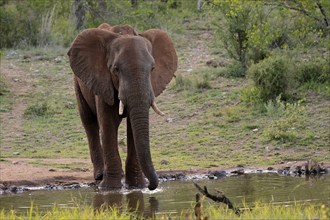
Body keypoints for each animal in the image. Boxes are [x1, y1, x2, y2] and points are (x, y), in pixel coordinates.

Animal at [67, 23, 178, 190]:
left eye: (152, 69)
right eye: (116, 70)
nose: (151, 186)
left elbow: (133, 127)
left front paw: (137, 186)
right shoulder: (103, 83)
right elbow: (107, 125)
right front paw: (110, 188)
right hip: (79, 82)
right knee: (89, 122)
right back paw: (100, 176)